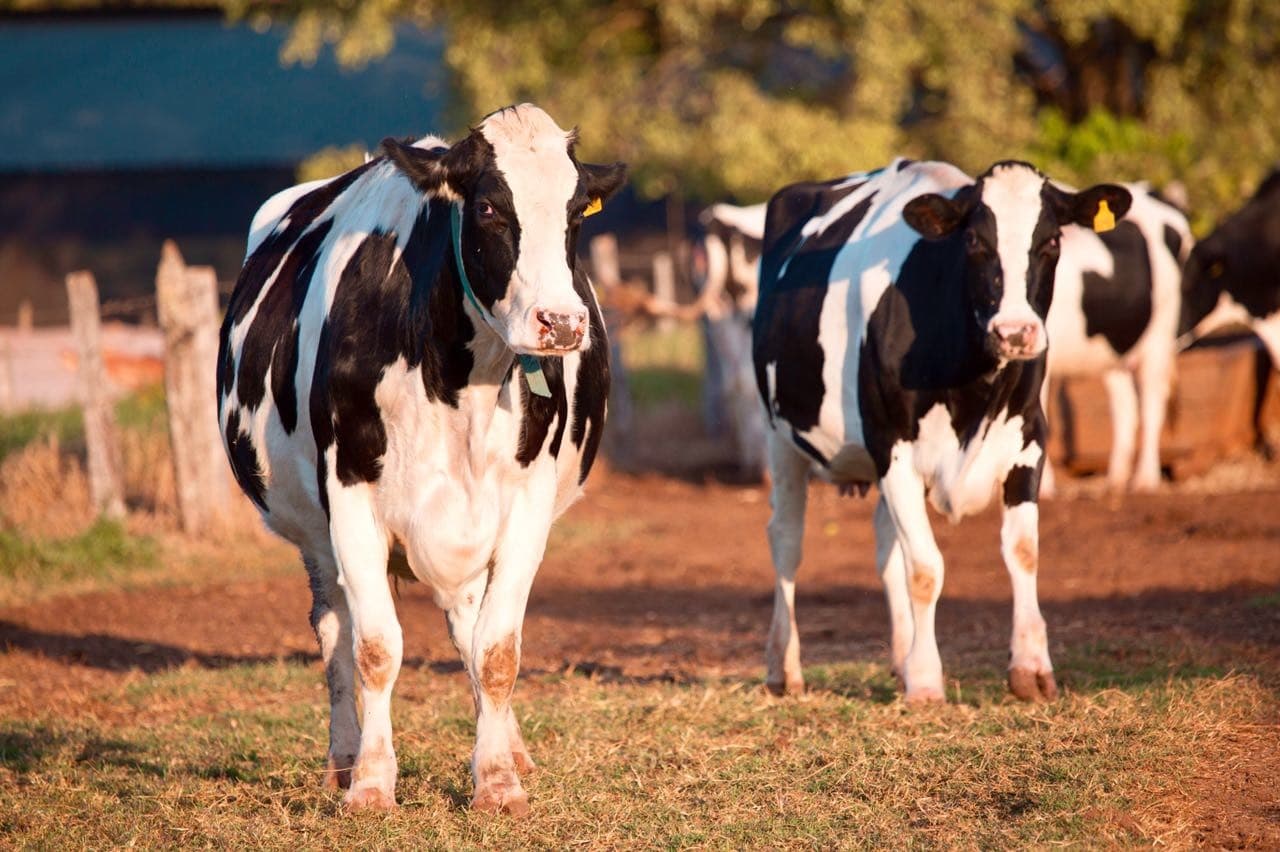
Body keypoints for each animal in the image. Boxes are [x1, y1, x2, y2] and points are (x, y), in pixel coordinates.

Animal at [747, 156, 1131, 701]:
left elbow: (1023, 552)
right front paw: (927, 682)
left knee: (886, 546)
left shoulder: (1028, 442)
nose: (1015, 332)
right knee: (786, 540)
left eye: (1052, 241)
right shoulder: (893, 448)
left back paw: (900, 658)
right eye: (974, 242)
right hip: (781, 437)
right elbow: (927, 568)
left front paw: (1031, 669)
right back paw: (785, 667)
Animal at [1044, 185, 1192, 491]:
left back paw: (1145, 478)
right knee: (1126, 406)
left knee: (1151, 401)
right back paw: (1116, 477)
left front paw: (1045, 486)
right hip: (1115, 349)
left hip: (1159, 333)